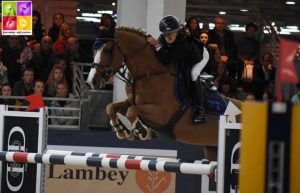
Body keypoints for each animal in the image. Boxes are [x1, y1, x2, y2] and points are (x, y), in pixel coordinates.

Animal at [94, 26, 241, 160]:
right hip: (212, 149)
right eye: (94, 49)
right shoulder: (131, 102)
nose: (93, 80)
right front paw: (121, 131)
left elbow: (132, 111)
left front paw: (142, 131)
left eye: (108, 49)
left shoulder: (160, 114)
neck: (150, 73)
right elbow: (112, 107)